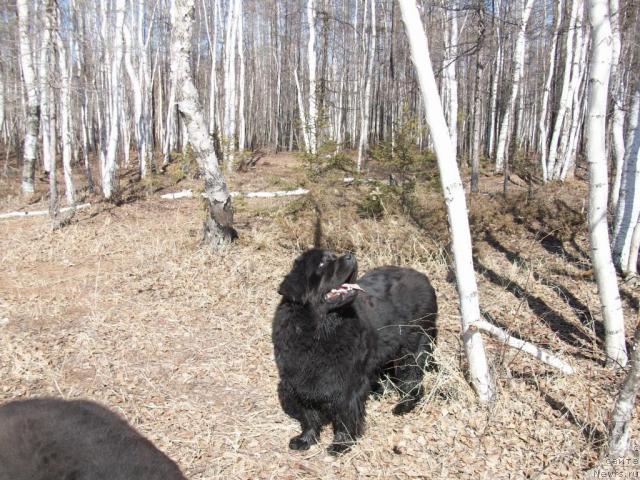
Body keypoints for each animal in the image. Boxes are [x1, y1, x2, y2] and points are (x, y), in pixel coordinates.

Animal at [272, 249, 438, 456]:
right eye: (322, 263)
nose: (350, 255)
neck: (319, 331)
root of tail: (423, 277)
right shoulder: (300, 379)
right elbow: (308, 414)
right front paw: (305, 439)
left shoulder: (349, 382)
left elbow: (346, 413)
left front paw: (341, 443)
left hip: (412, 346)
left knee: (412, 379)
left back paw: (404, 405)